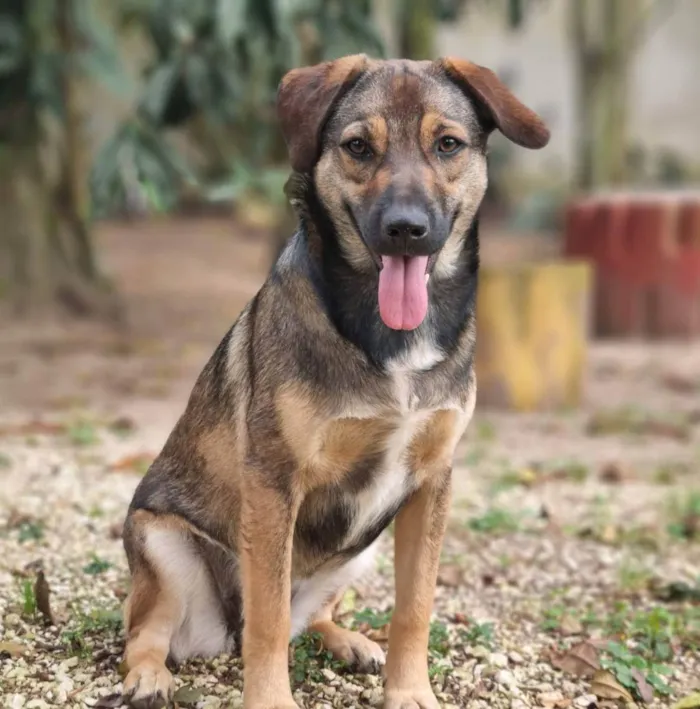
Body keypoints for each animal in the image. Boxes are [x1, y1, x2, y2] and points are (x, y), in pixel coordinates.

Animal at [119, 52, 548, 704]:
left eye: (447, 144)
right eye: (358, 147)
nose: (405, 228)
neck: (387, 335)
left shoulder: (431, 483)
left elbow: (414, 606)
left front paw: (409, 691)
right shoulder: (274, 481)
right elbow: (269, 619)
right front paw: (271, 699)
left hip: (357, 549)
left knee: (313, 617)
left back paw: (348, 641)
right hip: (160, 542)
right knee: (149, 631)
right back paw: (147, 675)